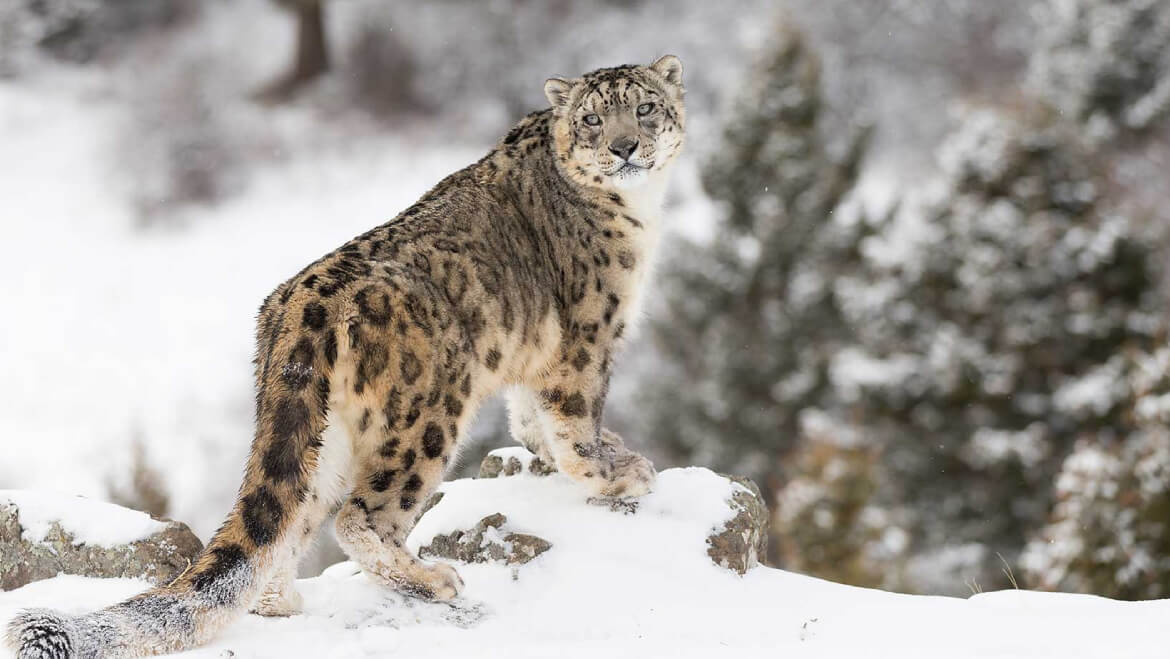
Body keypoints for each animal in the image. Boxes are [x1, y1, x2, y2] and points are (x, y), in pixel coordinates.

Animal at [7, 54, 685, 658]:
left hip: (320, 434)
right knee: (361, 516)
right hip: (426, 415)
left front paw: (563, 454)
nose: (625, 147)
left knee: (292, 518)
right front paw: (615, 473)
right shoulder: (587, 338)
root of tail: (298, 309)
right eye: (593, 119)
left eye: (645, 108)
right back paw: (432, 578)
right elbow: (575, 420)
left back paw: (282, 601)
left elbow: (529, 416)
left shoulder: (537, 355)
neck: (640, 211)